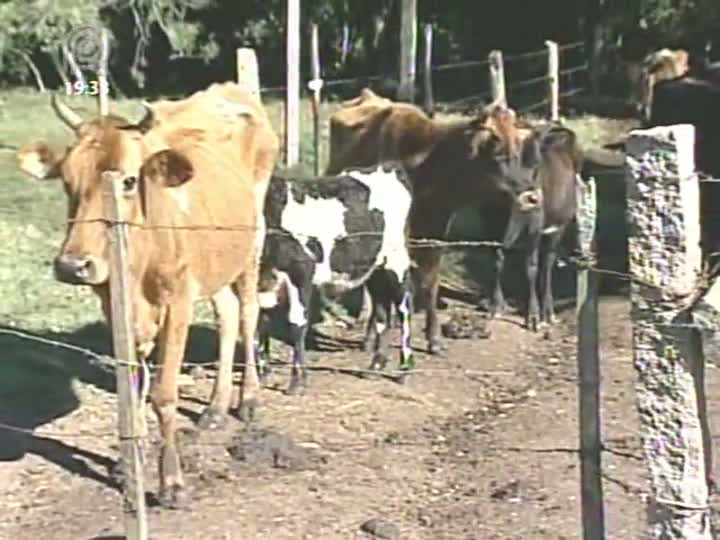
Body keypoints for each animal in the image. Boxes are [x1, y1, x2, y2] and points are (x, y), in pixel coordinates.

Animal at [16, 84, 282, 506]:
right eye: (66, 180)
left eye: (128, 181)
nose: (72, 266)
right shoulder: (115, 306)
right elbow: (134, 386)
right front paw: (130, 462)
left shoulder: (178, 302)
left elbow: (162, 393)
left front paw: (171, 481)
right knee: (226, 313)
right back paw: (215, 406)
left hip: (252, 240)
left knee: (248, 312)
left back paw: (249, 399)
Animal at [255, 160, 414, 392]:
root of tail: (388, 167)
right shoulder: (261, 281)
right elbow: (261, 322)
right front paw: (262, 374)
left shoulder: (301, 271)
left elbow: (297, 323)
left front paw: (297, 381)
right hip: (374, 267)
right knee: (382, 311)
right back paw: (376, 365)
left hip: (396, 260)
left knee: (404, 308)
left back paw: (405, 369)